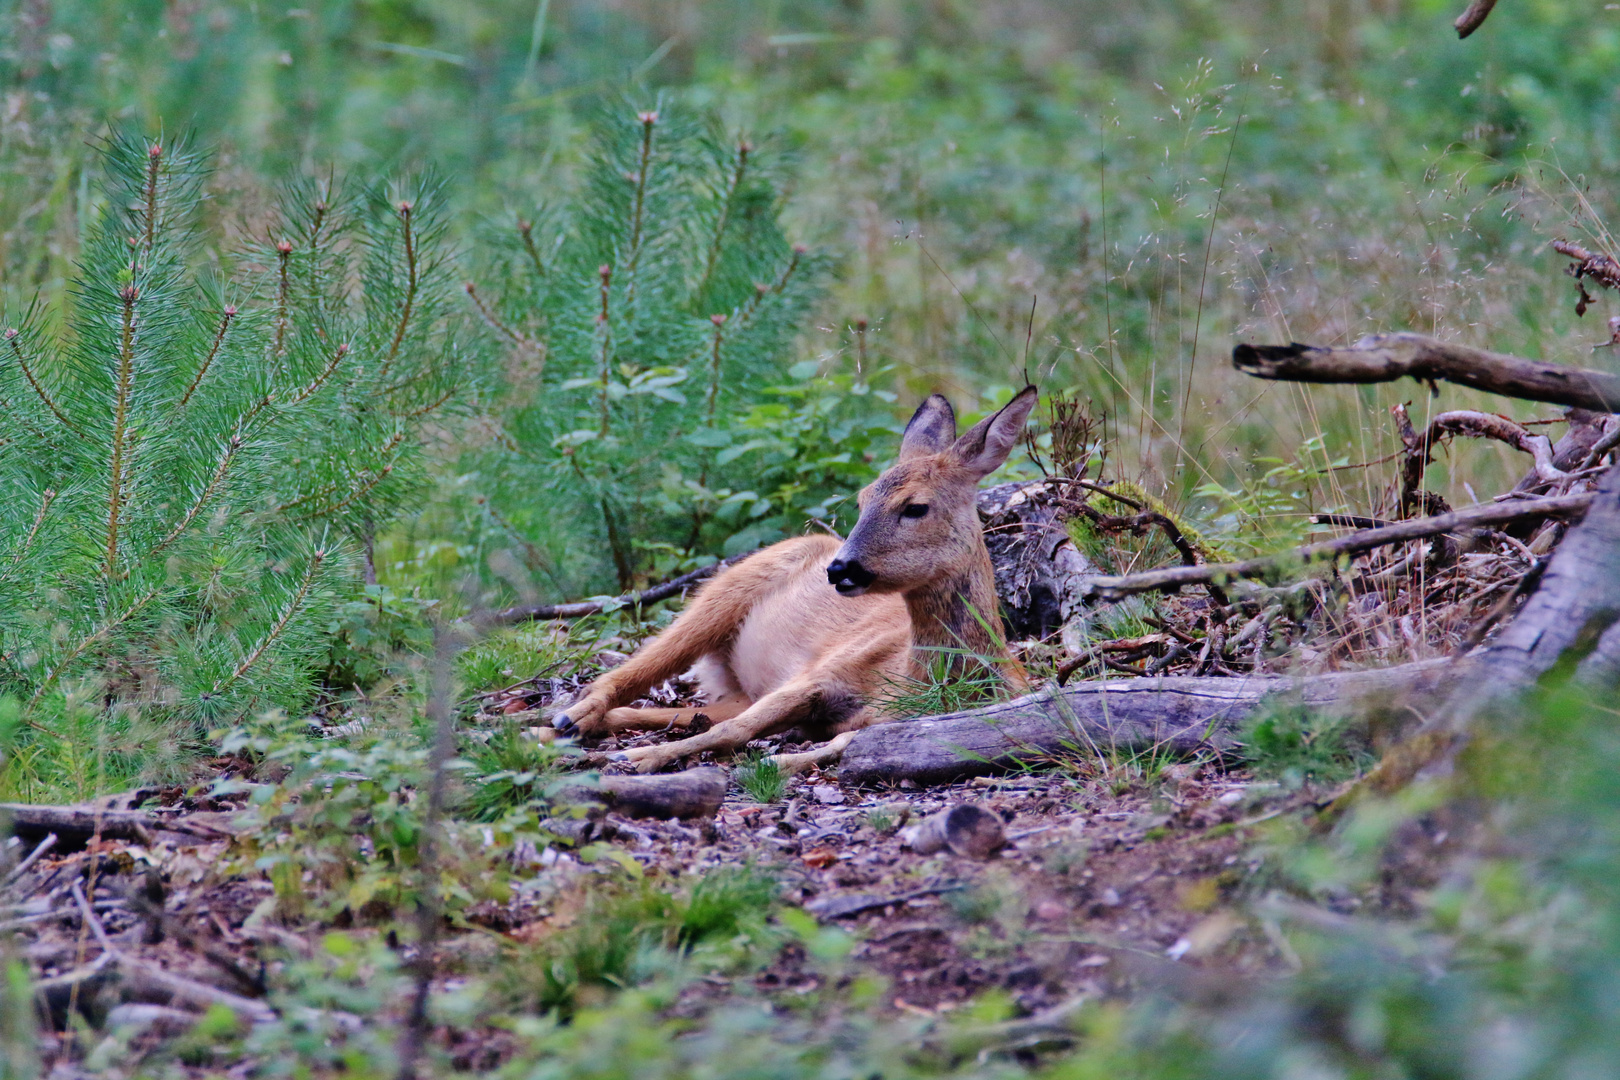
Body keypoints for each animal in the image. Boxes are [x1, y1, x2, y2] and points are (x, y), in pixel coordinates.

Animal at [557, 388, 1036, 777]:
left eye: (915, 507)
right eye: (861, 500)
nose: (839, 569)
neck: (917, 678)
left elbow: (838, 741)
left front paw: (777, 761)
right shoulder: (818, 672)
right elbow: (732, 731)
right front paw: (637, 758)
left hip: (738, 680)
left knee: (684, 711)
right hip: (720, 596)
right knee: (622, 677)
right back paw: (567, 721)